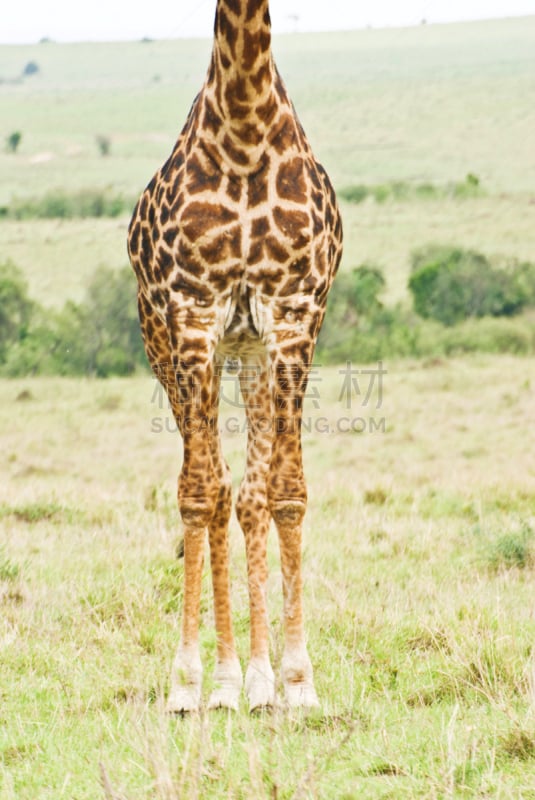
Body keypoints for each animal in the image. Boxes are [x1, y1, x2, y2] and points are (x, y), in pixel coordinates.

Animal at [126, 0, 344, 712]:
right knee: (218, 489)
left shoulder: (295, 311)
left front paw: (296, 680)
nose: (285, 677)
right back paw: (226, 678)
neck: (246, 121)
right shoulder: (193, 311)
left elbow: (285, 492)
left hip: (250, 355)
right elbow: (198, 494)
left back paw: (257, 677)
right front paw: (188, 682)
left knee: (248, 493)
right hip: (166, 344)